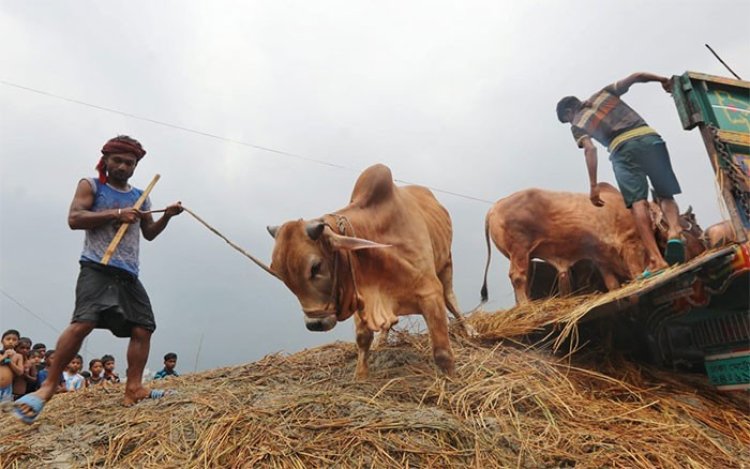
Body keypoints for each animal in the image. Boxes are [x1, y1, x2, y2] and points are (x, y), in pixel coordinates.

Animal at [268, 164, 468, 376]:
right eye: (281, 275)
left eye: (316, 267)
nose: (315, 325)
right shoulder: (360, 295)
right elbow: (363, 339)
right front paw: (361, 375)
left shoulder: (430, 292)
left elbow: (442, 352)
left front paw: (451, 379)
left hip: (446, 264)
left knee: (451, 298)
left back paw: (469, 329)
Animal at [482, 183, 652, 304]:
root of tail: (494, 208)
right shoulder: (631, 242)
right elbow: (636, 271)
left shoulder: (601, 258)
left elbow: (612, 283)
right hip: (519, 250)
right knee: (517, 277)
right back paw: (527, 307)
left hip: (524, 256)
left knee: (524, 279)